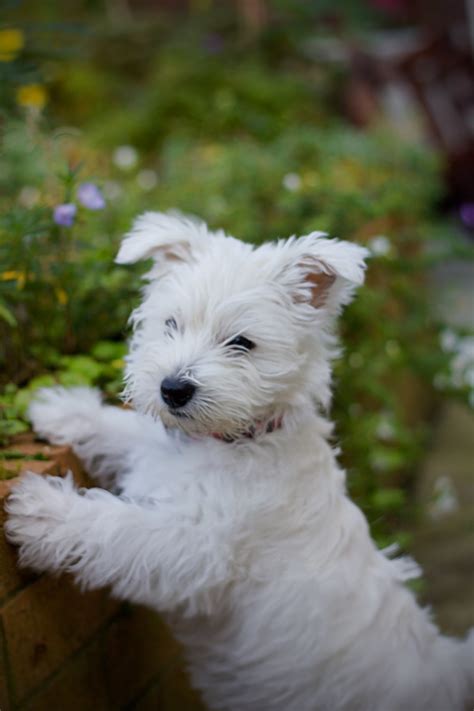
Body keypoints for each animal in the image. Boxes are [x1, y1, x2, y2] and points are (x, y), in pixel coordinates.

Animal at [4, 214, 474, 708]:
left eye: (241, 343)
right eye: (171, 324)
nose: (172, 389)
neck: (233, 440)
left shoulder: (193, 546)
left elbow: (116, 526)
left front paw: (43, 511)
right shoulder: (159, 454)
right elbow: (125, 430)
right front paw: (63, 410)